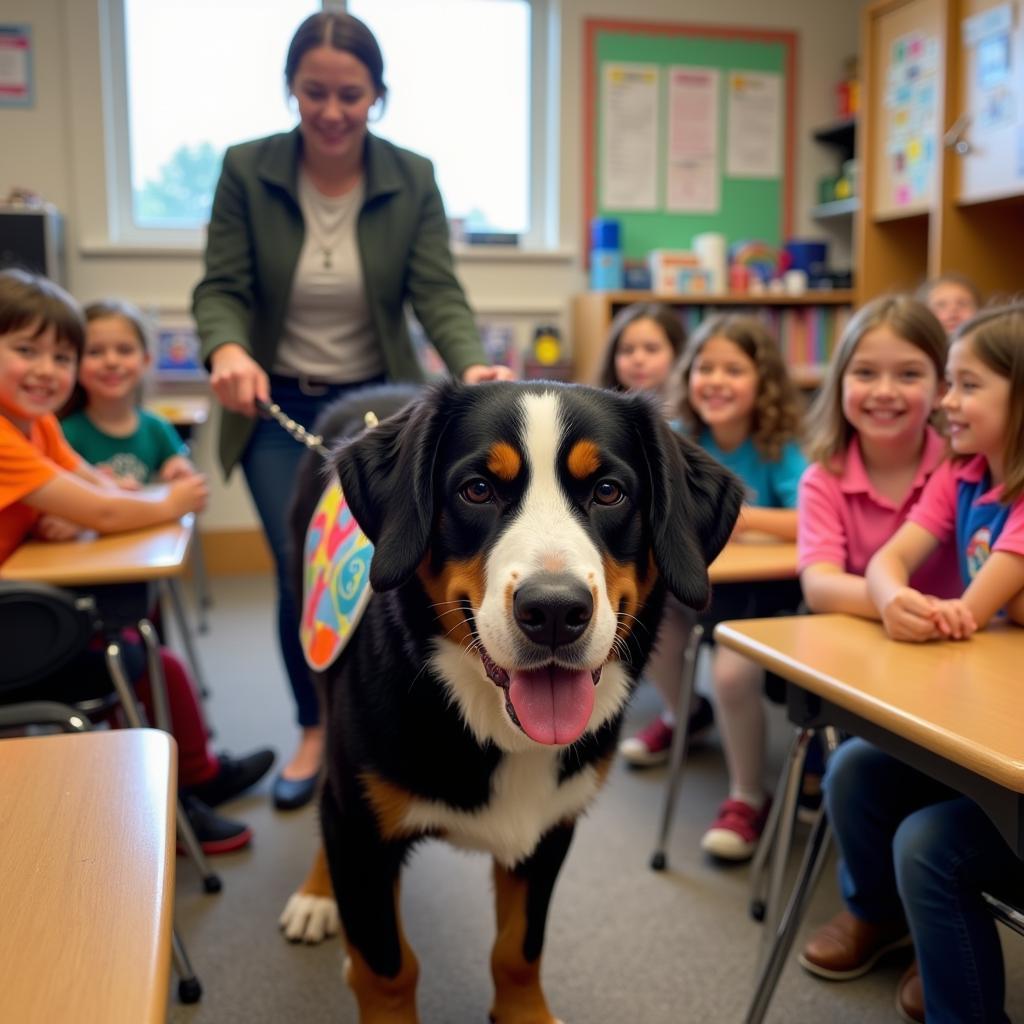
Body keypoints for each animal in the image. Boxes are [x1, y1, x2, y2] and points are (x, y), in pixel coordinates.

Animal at [280, 380, 741, 1019]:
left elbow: (519, 948)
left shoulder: (551, 827)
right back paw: (318, 895)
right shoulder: (362, 833)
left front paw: (526, 1013)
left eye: (608, 491)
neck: (489, 724)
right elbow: (388, 968)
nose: (554, 610)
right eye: (477, 490)